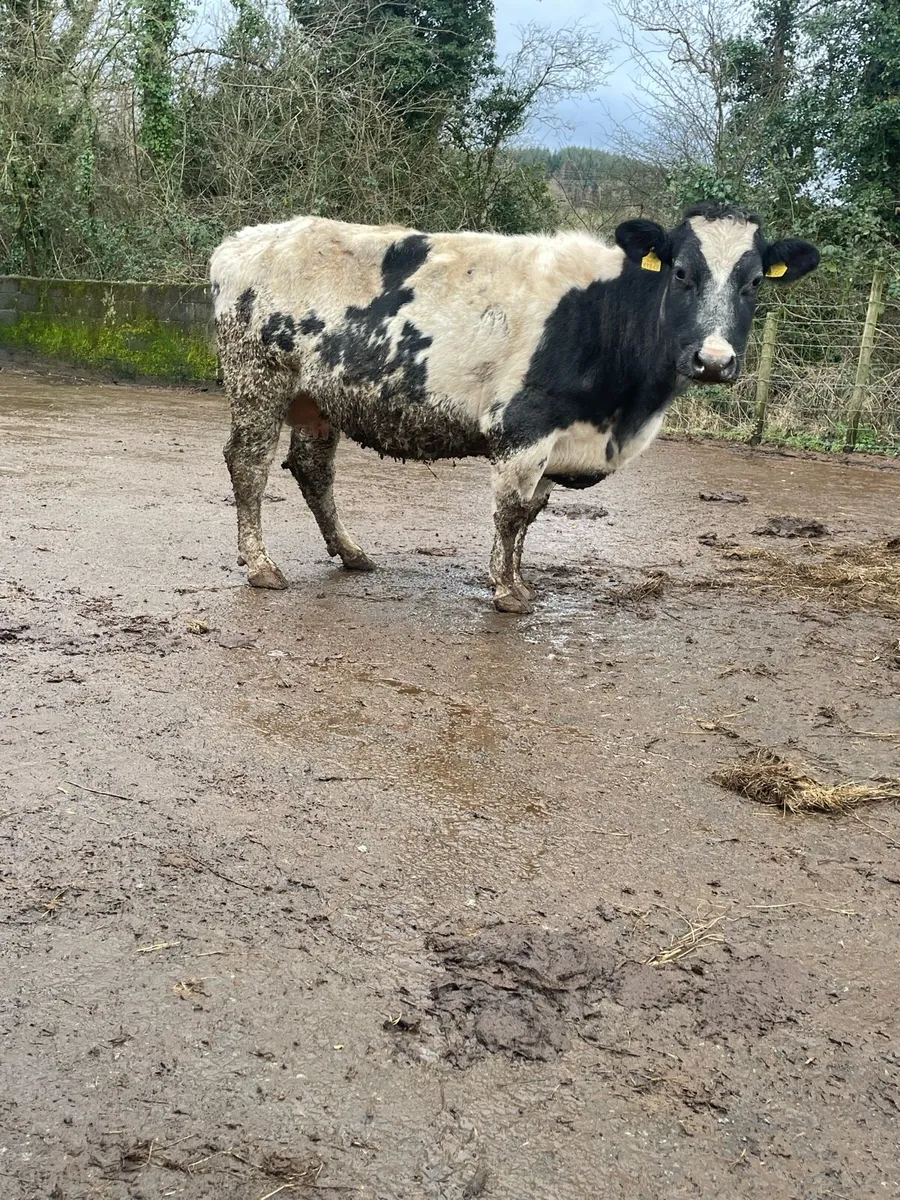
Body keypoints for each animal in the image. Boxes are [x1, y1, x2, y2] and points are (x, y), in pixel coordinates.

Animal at [210, 203, 819, 613]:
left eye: (754, 281)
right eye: (682, 272)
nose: (713, 359)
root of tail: (247, 238)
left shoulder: (558, 440)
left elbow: (530, 514)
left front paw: (519, 580)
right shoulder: (526, 424)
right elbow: (508, 511)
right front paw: (506, 592)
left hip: (318, 398)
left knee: (313, 469)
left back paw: (351, 552)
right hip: (258, 378)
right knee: (249, 464)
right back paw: (261, 565)